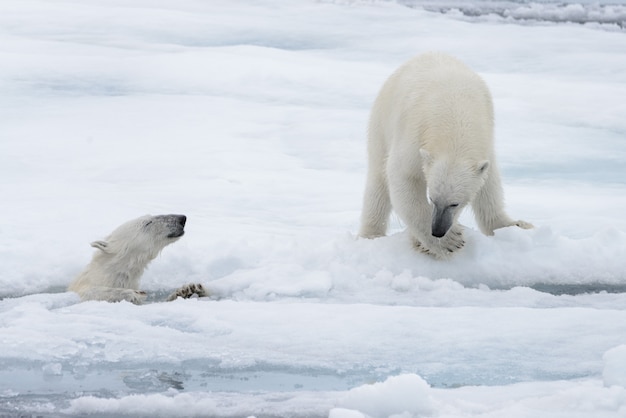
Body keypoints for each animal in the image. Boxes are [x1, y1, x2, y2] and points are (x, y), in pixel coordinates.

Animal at [358, 50, 528, 256]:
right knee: (378, 181)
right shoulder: (414, 135)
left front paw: (513, 225)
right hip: (381, 123)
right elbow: (403, 176)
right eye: (432, 199)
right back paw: (371, 235)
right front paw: (448, 241)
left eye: (455, 203)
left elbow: (488, 185)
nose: (438, 230)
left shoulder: (486, 141)